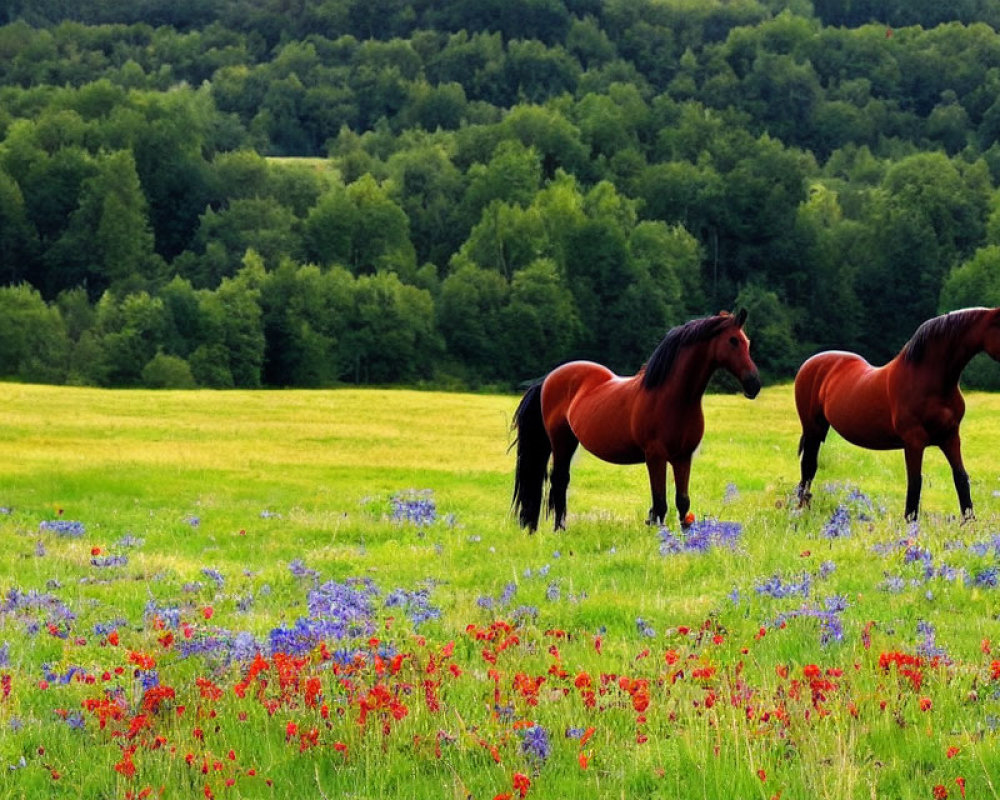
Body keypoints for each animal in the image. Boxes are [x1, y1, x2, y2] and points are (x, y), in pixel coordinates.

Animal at [512, 310, 760, 532]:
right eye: (733, 341)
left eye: (747, 342)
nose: (754, 385)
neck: (672, 397)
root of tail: (548, 379)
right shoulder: (655, 456)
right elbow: (660, 504)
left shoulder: (683, 457)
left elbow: (682, 502)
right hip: (560, 441)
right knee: (559, 481)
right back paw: (559, 529)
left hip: (570, 440)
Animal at [796, 304, 1000, 520]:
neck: (929, 380)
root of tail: (810, 363)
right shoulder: (913, 442)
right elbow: (915, 483)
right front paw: (911, 522)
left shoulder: (950, 437)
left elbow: (961, 478)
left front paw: (969, 522)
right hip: (812, 429)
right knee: (808, 466)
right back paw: (801, 510)